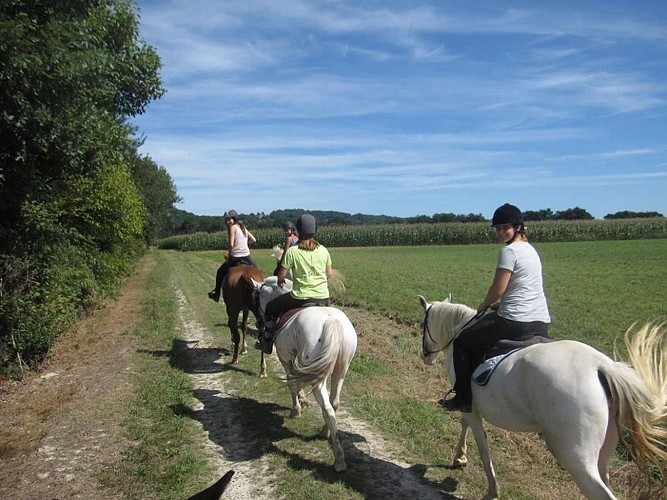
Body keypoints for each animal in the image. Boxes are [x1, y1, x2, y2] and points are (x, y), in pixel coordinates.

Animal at [253, 280, 358, 470]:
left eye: (256, 298)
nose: (258, 323)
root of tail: (332, 321)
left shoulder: (286, 359)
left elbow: (292, 384)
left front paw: (296, 410)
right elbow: (297, 382)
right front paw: (303, 402)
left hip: (319, 378)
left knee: (327, 406)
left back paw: (338, 458)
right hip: (340, 371)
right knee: (334, 402)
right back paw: (326, 432)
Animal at [420, 294, 664, 500]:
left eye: (423, 325)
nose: (425, 356)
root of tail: (601, 366)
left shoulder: (468, 404)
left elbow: (482, 445)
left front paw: (490, 488)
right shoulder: (469, 405)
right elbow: (465, 425)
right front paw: (460, 458)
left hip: (577, 458)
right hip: (602, 453)